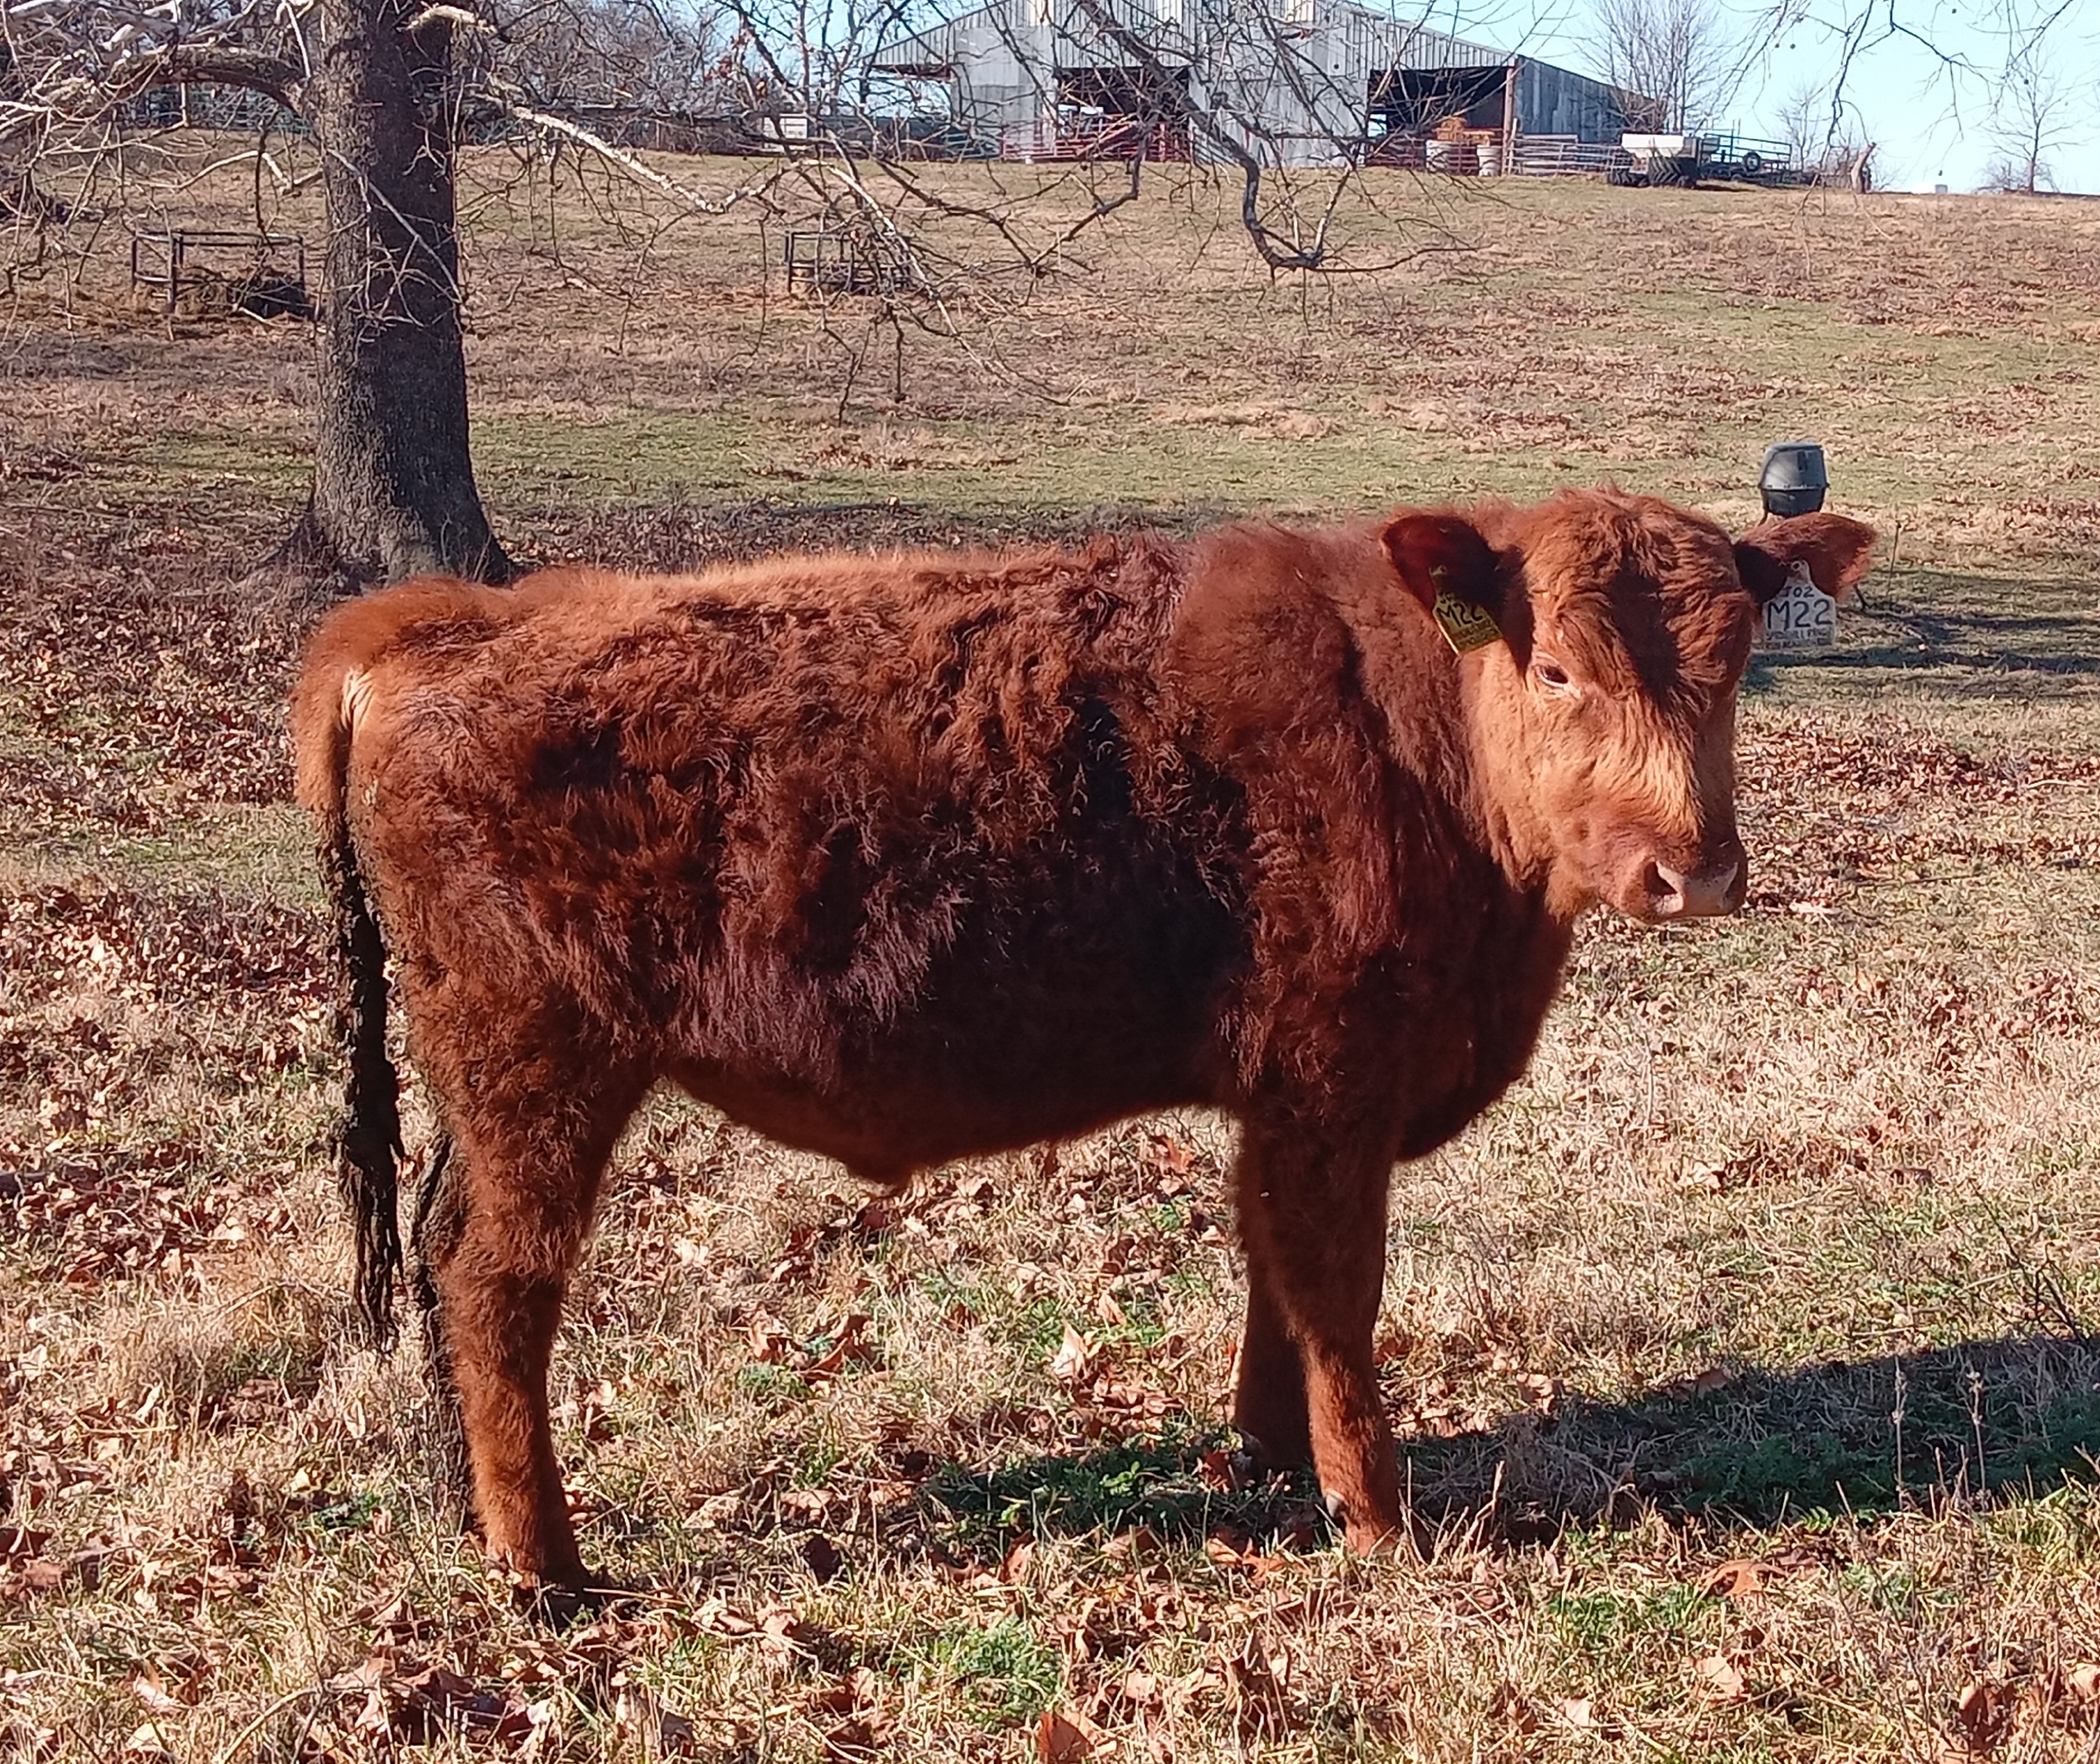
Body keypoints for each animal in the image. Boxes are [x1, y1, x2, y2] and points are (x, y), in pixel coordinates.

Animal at [291, 489, 1875, 1595]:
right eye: (1554, 672)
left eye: (1734, 663)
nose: (1692, 873)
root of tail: (442, 621)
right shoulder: (1328, 1080)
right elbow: (1337, 1289)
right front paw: (1372, 1512)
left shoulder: (1283, 1097)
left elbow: (1272, 1273)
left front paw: (1267, 1455)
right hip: (537, 1070)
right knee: (496, 1285)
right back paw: (543, 1566)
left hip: (483, 1088)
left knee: (436, 1258)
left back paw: (471, 1509)